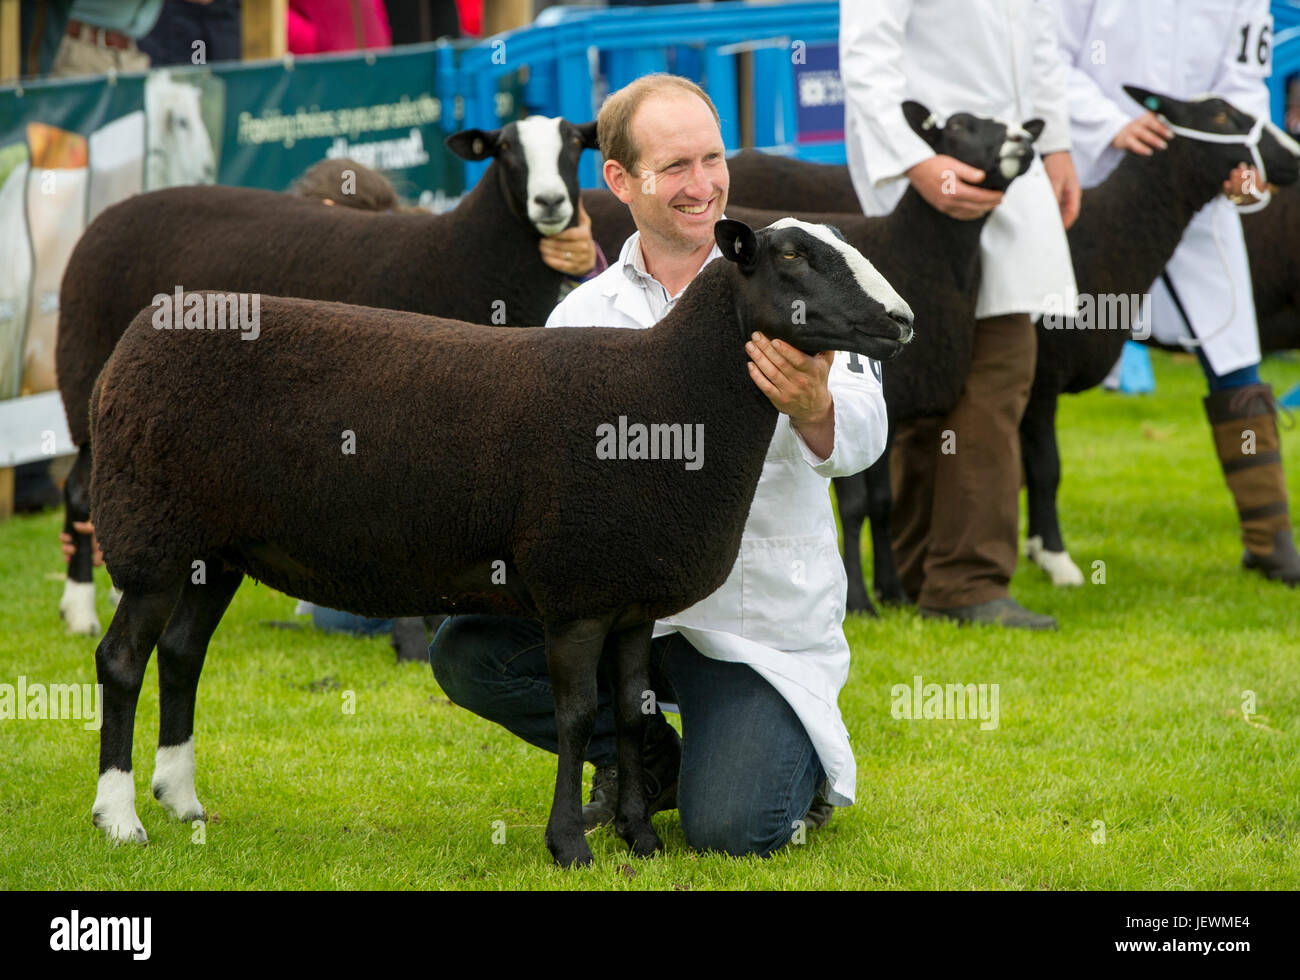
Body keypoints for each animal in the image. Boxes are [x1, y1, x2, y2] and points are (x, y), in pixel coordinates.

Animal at [86, 215, 915, 863]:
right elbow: (578, 714)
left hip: (213, 549)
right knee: (122, 660)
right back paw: (120, 818)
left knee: (182, 655)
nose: (905, 322)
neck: (676, 393)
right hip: (150, 534)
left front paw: (640, 836)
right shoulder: (576, 592)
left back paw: (181, 799)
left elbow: (630, 707)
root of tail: (131, 344)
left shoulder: (631, 597)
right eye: (794, 257)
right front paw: (570, 844)